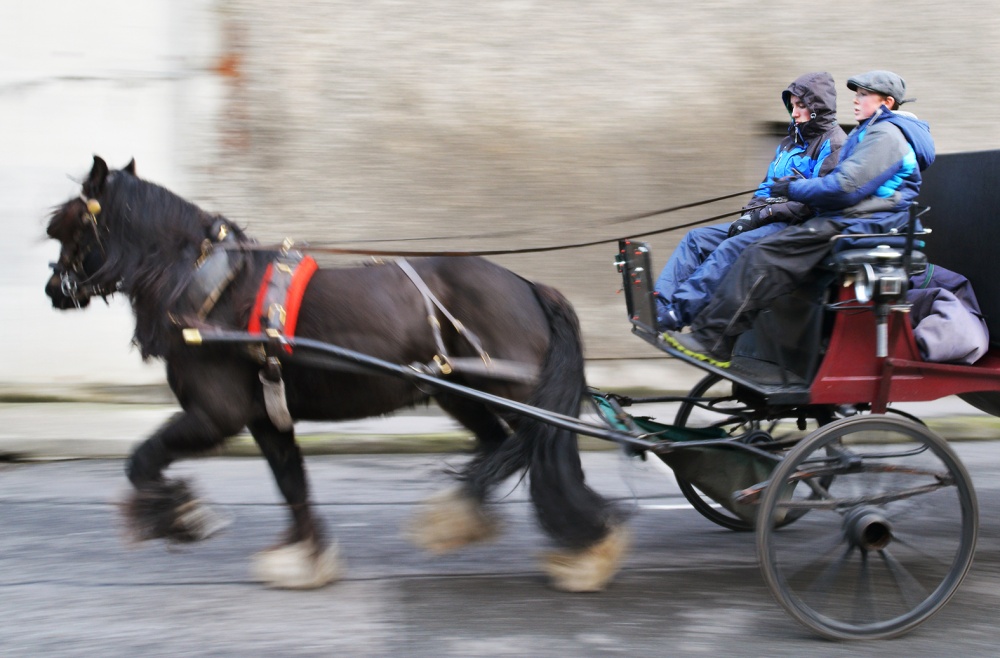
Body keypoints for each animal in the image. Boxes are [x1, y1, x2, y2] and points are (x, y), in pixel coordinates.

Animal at [45, 156, 624, 592]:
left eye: (67, 229)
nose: (54, 289)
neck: (209, 290)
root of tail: (529, 286)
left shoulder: (214, 415)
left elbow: (142, 460)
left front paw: (183, 517)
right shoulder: (264, 415)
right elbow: (292, 483)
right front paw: (307, 557)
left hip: (514, 391)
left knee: (545, 449)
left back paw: (587, 547)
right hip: (459, 392)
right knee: (505, 446)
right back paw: (469, 518)